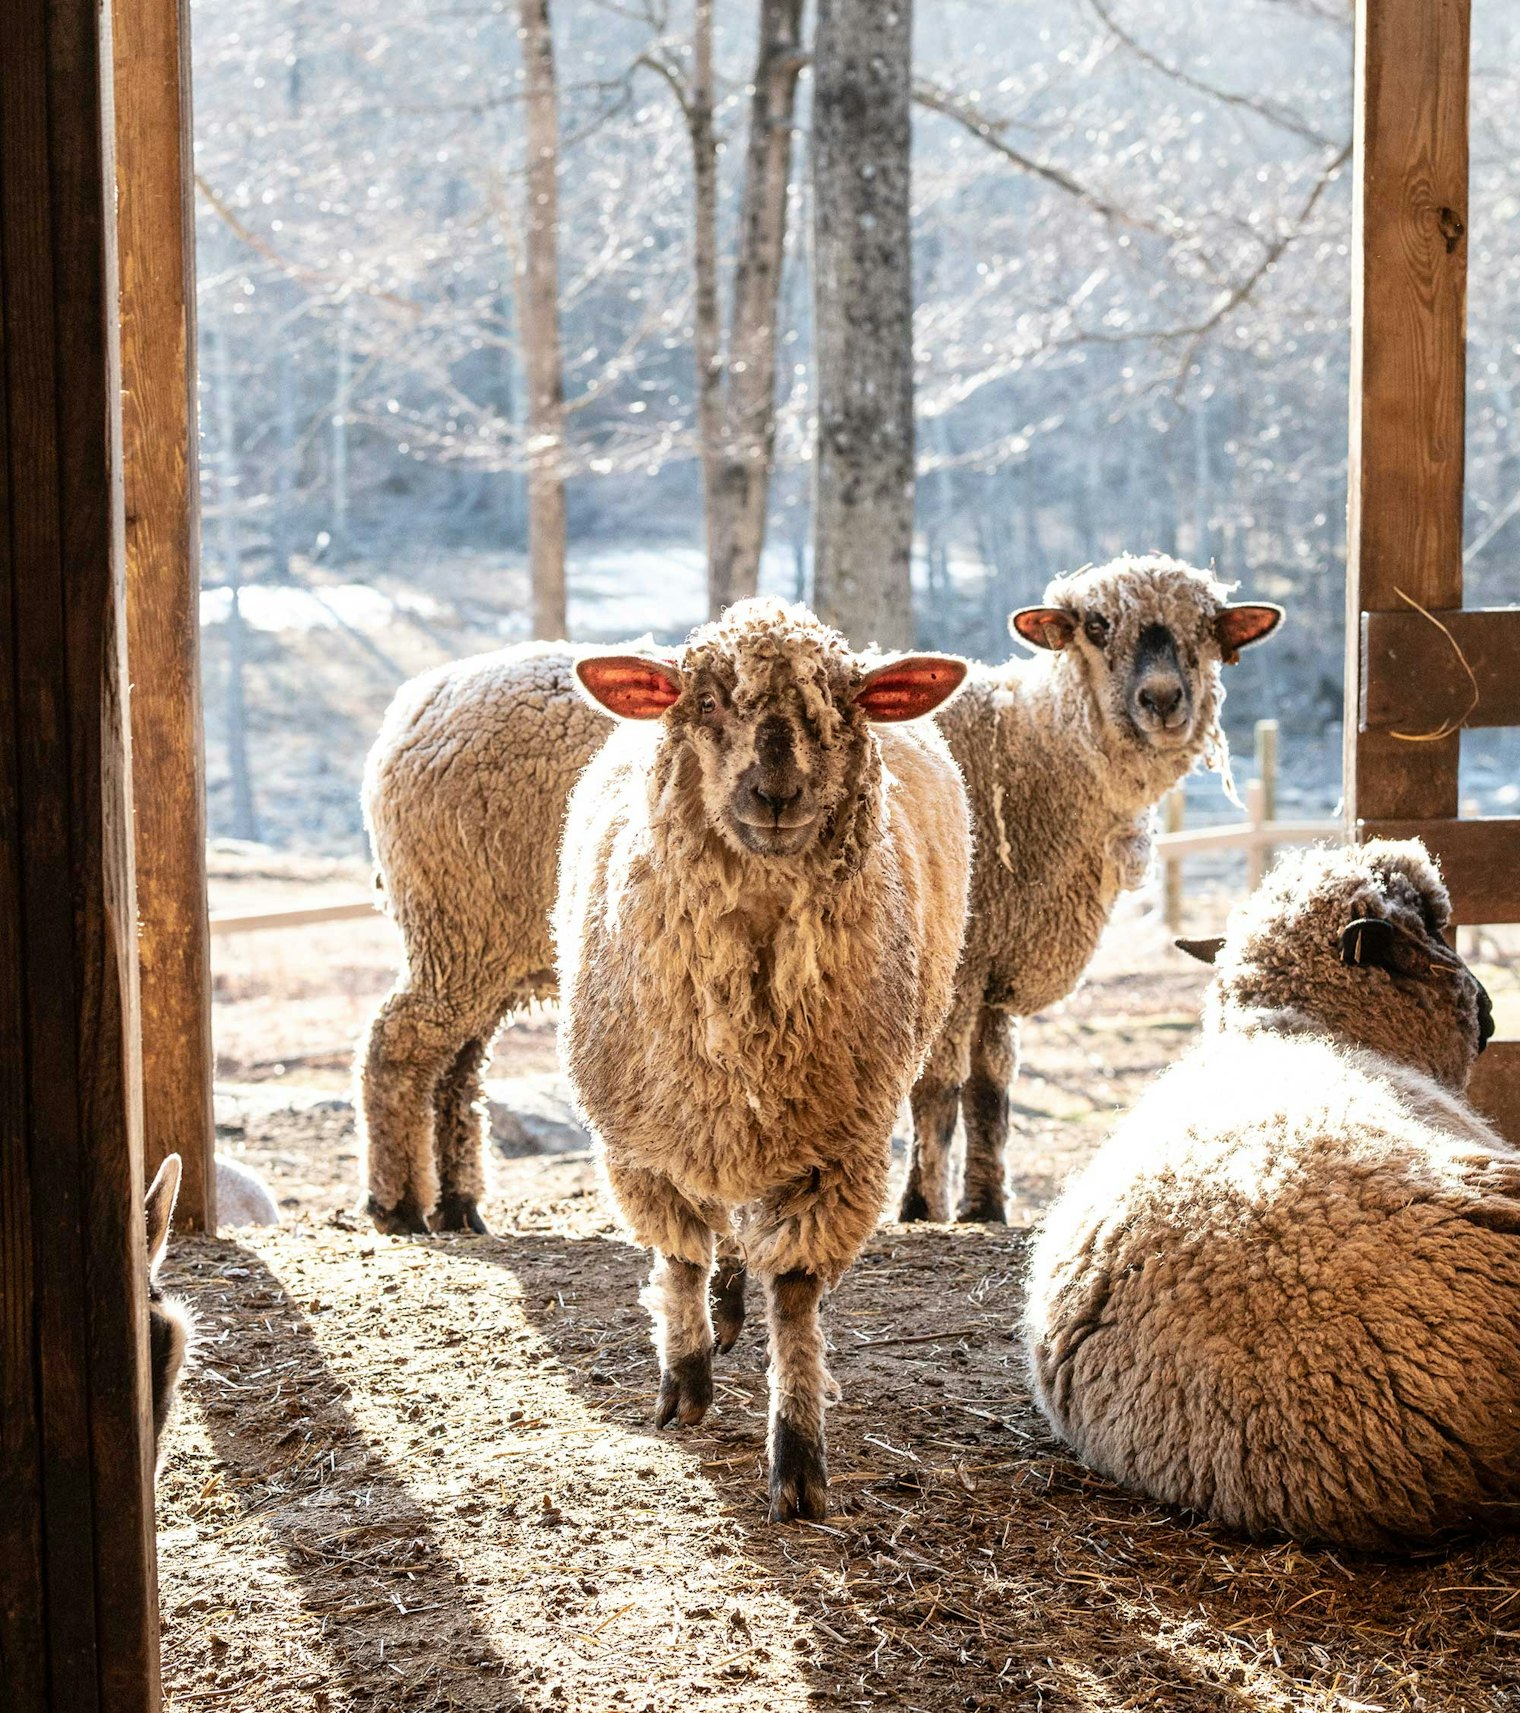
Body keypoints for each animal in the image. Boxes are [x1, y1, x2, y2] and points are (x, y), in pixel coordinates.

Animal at [554, 597, 972, 1521]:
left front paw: (799, 1453)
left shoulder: (838, 1150)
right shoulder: (640, 1144)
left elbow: (797, 1298)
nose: (776, 794)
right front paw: (684, 1384)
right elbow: (678, 1255)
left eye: (842, 708)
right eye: (706, 702)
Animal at [898, 552, 1284, 1224]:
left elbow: (990, 1090)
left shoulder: (1001, 959)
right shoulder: (959, 958)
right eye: (1098, 627)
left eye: (1205, 627)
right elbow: (937, 1088)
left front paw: (985, 1208)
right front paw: (923, 1209)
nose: (1163, 699)